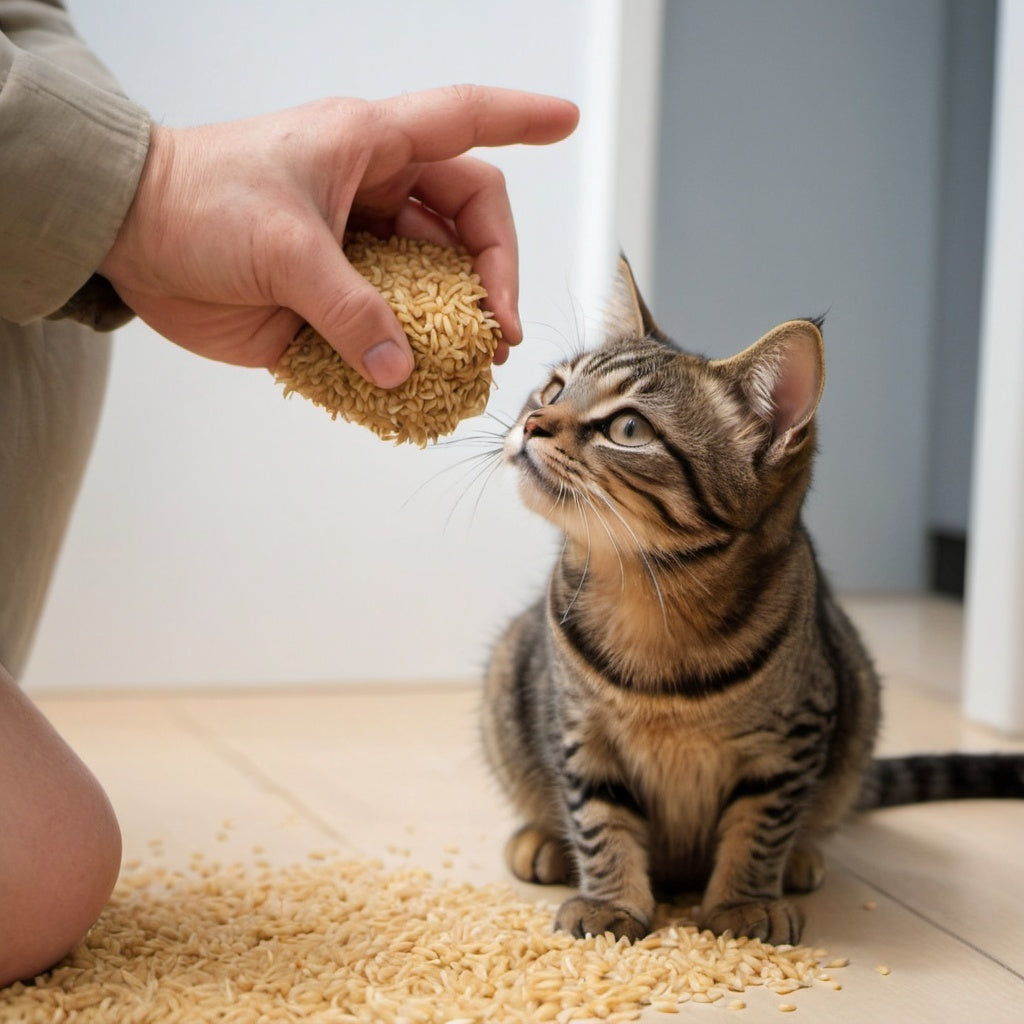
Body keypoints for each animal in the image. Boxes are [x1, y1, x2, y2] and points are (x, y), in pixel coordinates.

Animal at [483, 256, 1024, 942]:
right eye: (553, 389)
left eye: (628, 427)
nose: (531, 422)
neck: (652, 601)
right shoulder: (579, 729)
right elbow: (600, 821)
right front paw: (611, 904)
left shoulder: (792, 740)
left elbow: (760, 827)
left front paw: (743, 903)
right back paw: (543, 841)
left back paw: (800, 860)